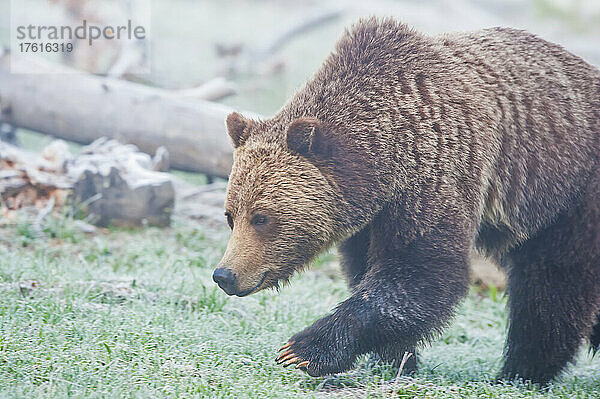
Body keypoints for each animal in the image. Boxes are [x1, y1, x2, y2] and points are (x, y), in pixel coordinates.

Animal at [212, 17, 600, 386]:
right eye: (231, 216)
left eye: (262, 217)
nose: (225, 275)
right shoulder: (370, 216)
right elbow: (368, 270)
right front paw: (395, 359)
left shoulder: (435, 172)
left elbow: (421, 271)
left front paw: (304, 349)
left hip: (568, 192)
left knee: (551, 286)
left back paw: (520, 372)